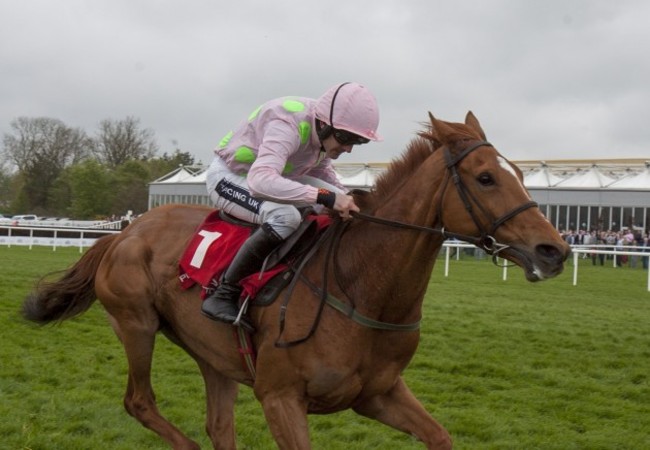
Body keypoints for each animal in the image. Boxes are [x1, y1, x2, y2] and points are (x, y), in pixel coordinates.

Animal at [22, 112, 571, 449]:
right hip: (135, 323)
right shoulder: (281, 398)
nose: (555, 251)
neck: (361, 287)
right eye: (485, 178)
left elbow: (440, 435)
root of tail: (125, 231)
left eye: (521, 173)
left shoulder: (378, 394)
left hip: (215, 357)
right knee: (140, 401)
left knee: (218, 425)